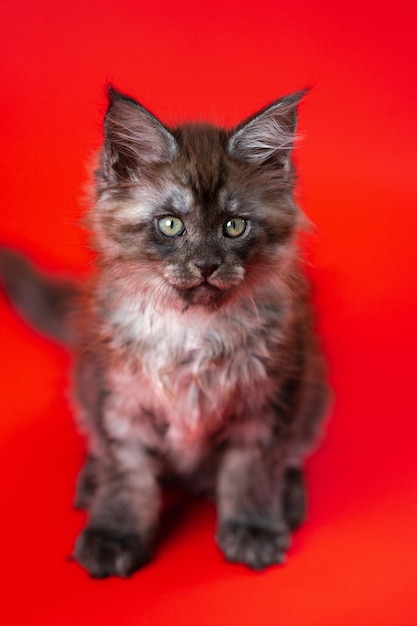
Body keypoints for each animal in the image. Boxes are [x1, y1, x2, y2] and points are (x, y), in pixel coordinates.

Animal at [1, 86, 330, 576]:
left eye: (234, 226)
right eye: (171, 224)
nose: (207, 265)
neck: (190, 327)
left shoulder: (267, 398)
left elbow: (250, 470)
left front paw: (252, 528)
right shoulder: (120, 398)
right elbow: (128, 474)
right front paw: (115, 534)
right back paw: (91, 482)